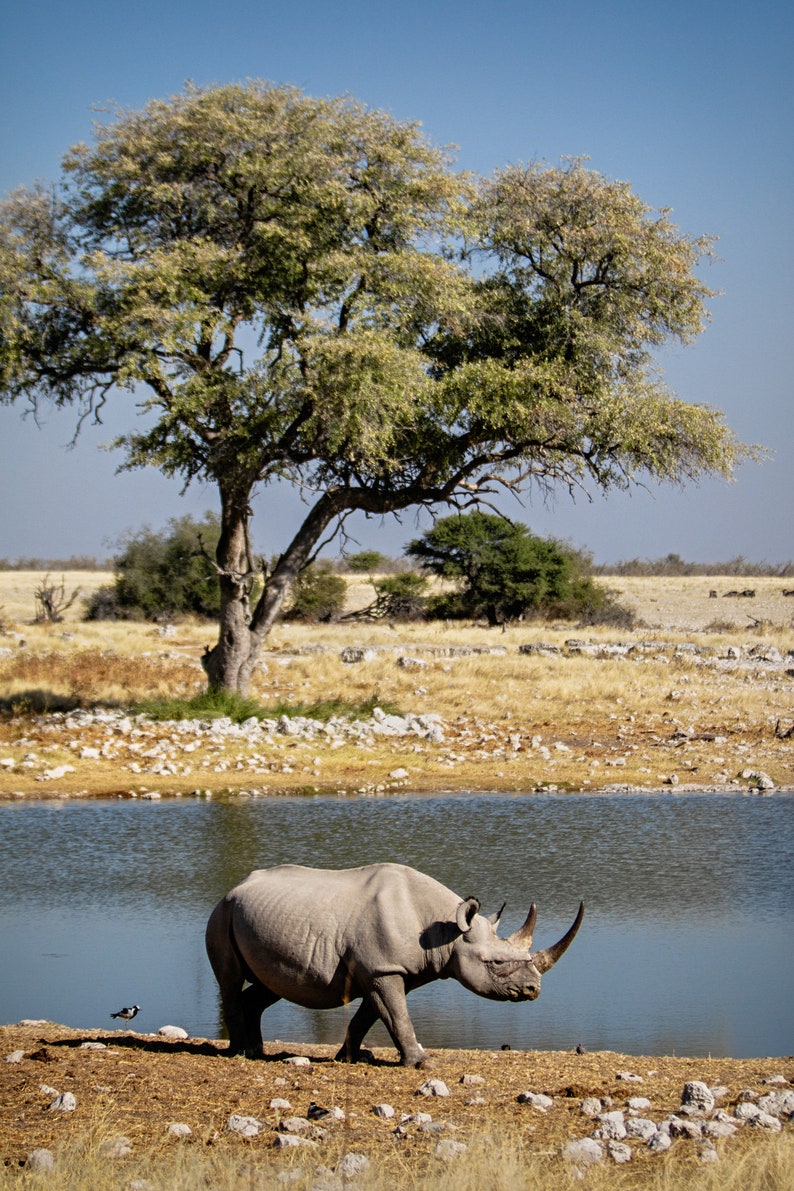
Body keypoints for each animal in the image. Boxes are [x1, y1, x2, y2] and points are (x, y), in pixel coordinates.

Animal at [206, 862, 583, 1067]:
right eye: (496, 963)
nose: (534, 989)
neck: (446, 930)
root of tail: (235, 886)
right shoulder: (382, 969)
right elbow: (397, 1015)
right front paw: (421, 1063)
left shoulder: (388, 971)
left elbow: (371, 1016)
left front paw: (349, 1057)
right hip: (223, 913)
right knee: (230, 980)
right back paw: (237, 1053)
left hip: (255, 917)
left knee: (272, 985)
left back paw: (256, 1051)